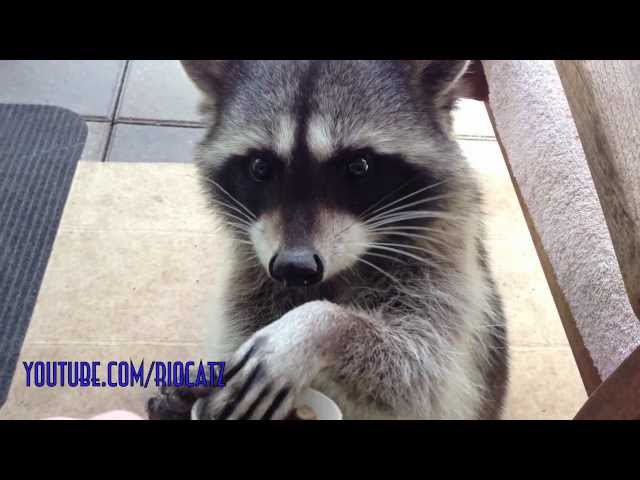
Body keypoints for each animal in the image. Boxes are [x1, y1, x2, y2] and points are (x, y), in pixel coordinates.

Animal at [148, 60, 508, 420]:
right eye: (260, 166)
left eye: (359, 166)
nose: (294, 268)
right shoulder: (251, 271)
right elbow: (241, 324)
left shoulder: (443, 257)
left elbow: (423, 369)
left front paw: (318, 328)